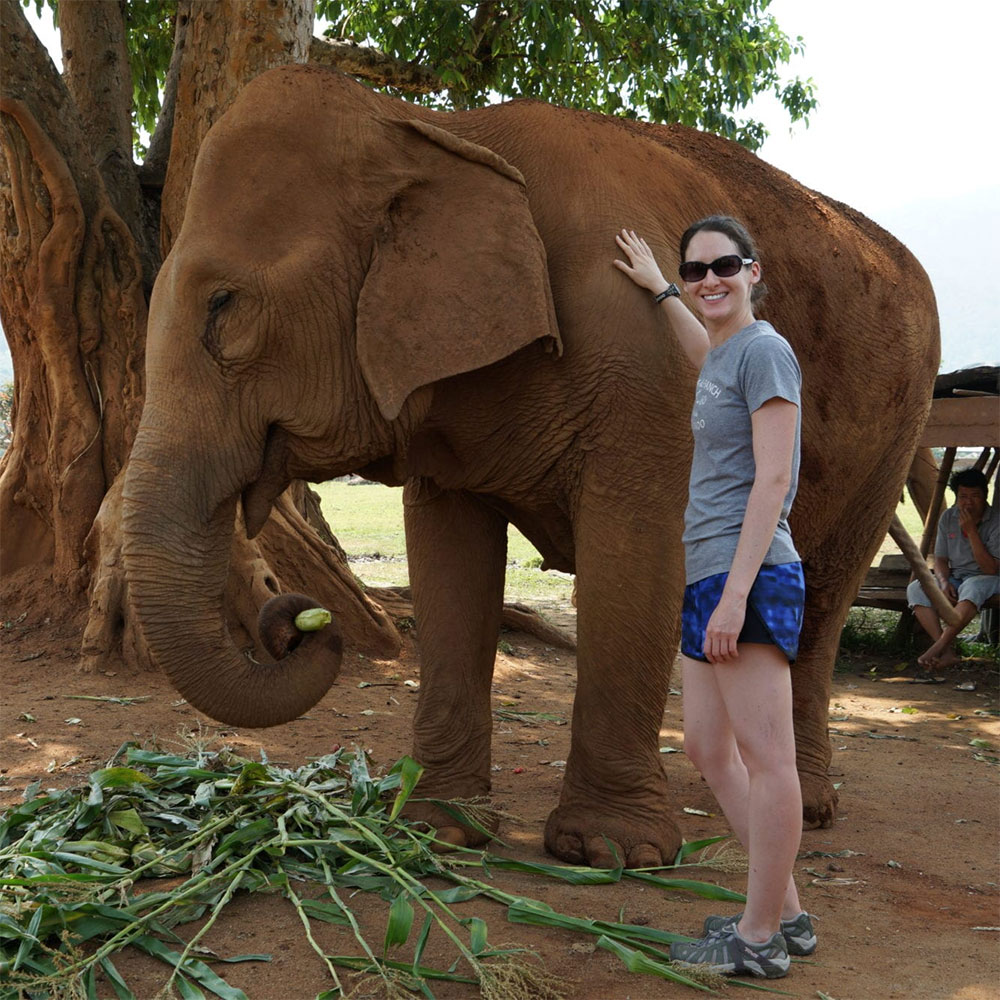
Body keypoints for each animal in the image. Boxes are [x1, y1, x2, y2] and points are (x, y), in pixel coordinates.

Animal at [121, 66, 940, 872]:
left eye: (224, 306)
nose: (297, 620)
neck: (435, 129)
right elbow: (450, 566)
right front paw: (437, 830)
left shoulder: (645, 367)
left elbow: (637, 556)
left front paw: (609, 851)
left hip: (898, 430)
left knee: (821, 601)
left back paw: (803, 810)